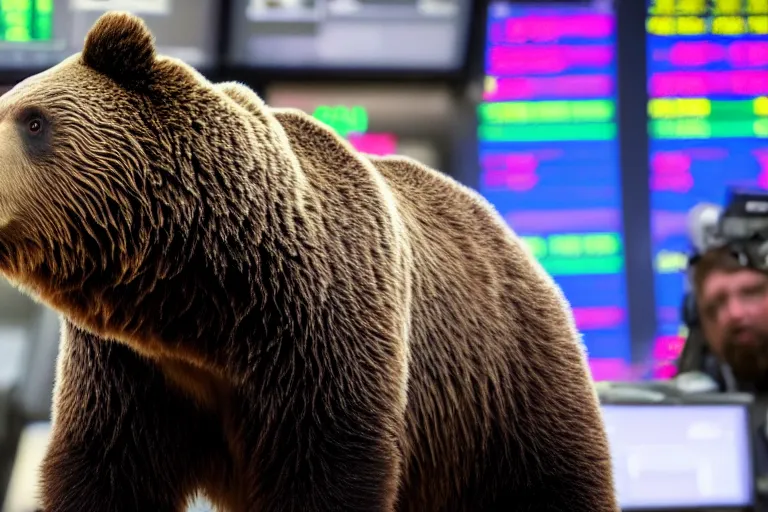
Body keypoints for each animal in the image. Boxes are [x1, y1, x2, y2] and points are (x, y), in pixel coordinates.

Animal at [0, 9, 616, 512]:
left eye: (33, 120)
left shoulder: (323, 333)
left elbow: (329, 468)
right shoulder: (129, 368)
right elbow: (104, 466)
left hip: (502, 388)